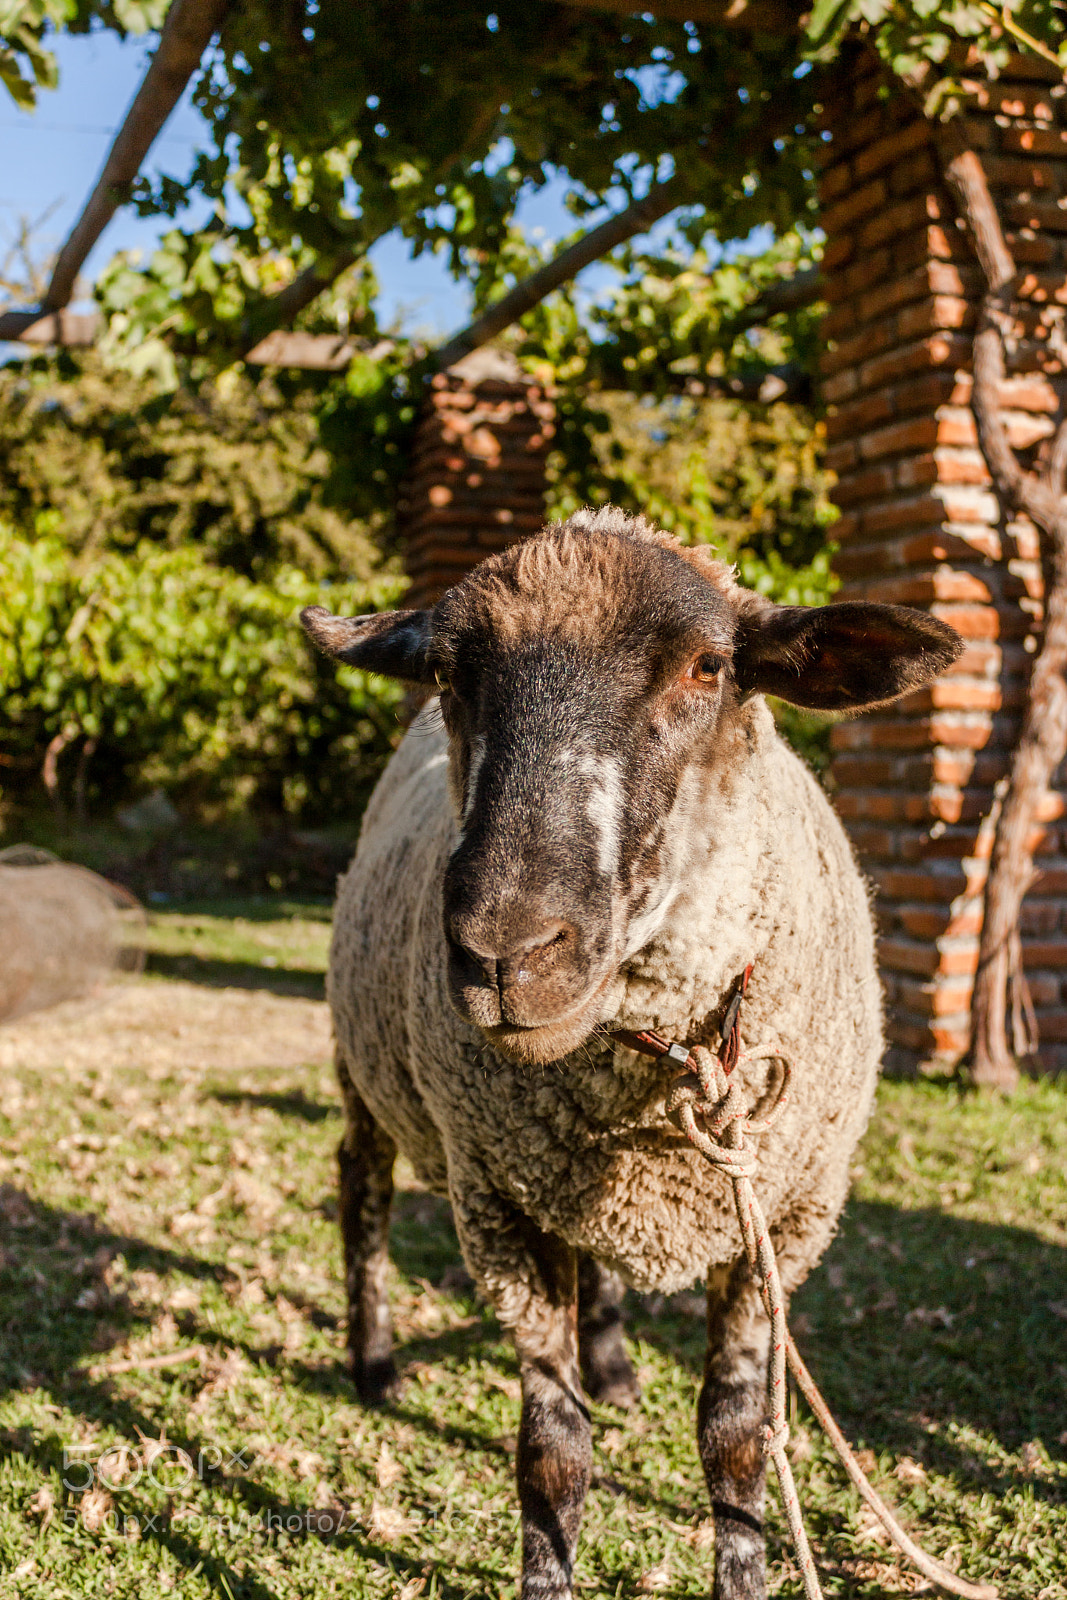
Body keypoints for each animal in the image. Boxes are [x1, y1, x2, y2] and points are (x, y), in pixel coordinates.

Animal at [300, 507, 962, 1600]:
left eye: (708, 666)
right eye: (446, 674)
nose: (506, 952)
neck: (655, 1070)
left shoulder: (776, 1218)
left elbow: (735, 1440)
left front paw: (740, 1571)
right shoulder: (497, 1204)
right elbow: (551, 1452)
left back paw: (608, 1365)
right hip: (368, 1070)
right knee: (362, 1188)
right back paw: (374, 1358)